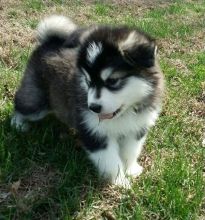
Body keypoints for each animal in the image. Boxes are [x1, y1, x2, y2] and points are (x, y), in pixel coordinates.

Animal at [11, 15, 165, 187]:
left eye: (112, 81)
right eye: (88, 81)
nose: (93, 107)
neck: (125, 113)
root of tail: (49, 42)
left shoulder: (137, 128)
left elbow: (131, 151)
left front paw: (131, 170)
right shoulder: (94, 133)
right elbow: (110, 161)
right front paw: (120, 181)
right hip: (36, 101)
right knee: (22, 104)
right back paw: (18, 124)